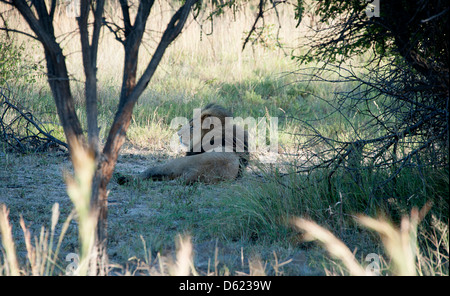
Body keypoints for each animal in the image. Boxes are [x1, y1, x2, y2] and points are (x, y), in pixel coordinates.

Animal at [116, 103, 250, 184]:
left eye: (192, 126)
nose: (178, 134)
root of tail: (195, 173)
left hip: (174, 164)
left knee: (148, 172)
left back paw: (123, 178)